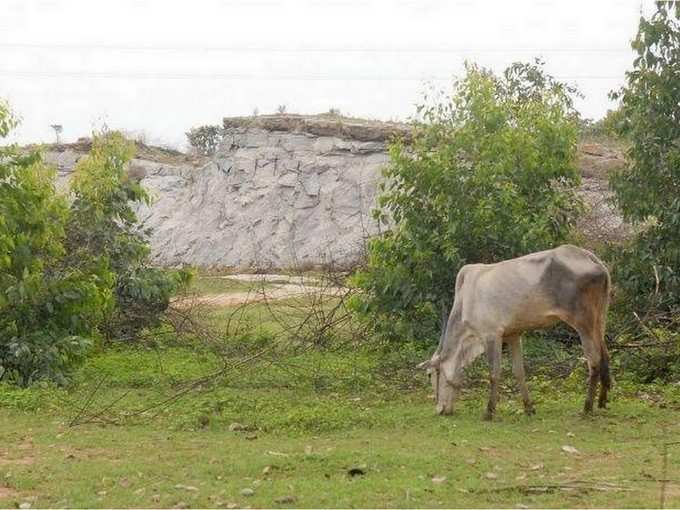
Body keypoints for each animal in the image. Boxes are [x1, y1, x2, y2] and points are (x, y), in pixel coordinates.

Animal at [420, 245, 612, 420]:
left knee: (594, 360)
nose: (440, 410)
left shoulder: (492, 335)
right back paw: (602, 401)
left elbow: (494, 373)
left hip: (583, 322)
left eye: (431, 374)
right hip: (600, 320)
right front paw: (529, 408)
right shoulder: (513, 335)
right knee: (605, 355)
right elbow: (519, 372)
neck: (465, 299)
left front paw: (489, 412)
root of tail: (591, 258)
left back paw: (587, 407)